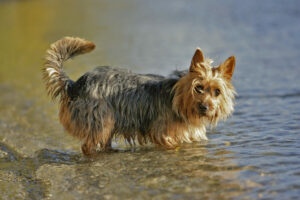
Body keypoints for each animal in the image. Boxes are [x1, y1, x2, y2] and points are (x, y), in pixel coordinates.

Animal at [42, 37, 236, 156]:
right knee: (88, 145)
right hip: (100, 118)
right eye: (198, 88)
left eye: (217, 92)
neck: (178, 100)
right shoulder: (163, 134)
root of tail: (74, 84)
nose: (205, 107)